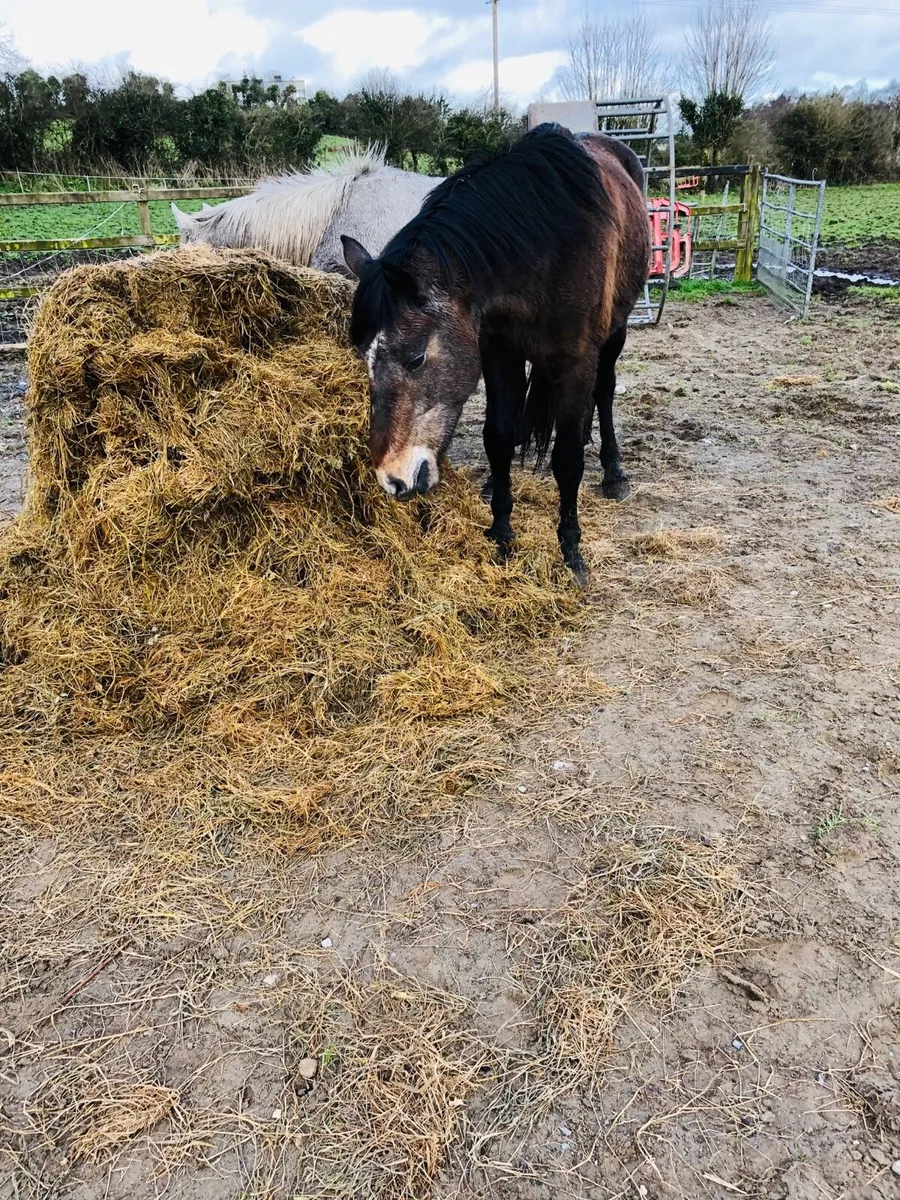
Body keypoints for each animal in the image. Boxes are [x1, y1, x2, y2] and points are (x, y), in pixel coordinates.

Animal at [340, 123, 650, 585]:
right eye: (364, 359)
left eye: (415, 358)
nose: (391, 479)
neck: (546, 247)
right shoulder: (498, 353)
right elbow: (499, 437)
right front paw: (501, 533)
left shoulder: (577, 359)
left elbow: (567, 457)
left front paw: (571, 552)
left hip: (616, 333)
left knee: (605, 391)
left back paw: (614, 473)